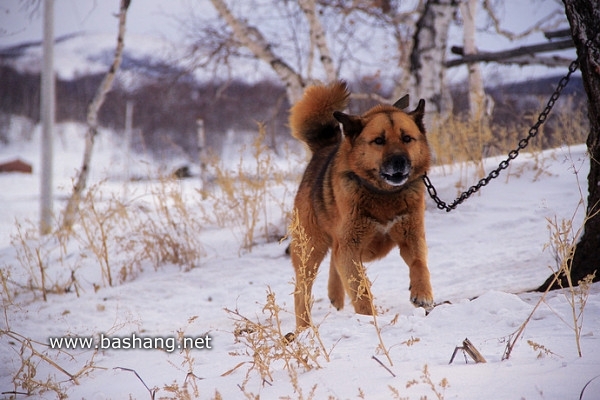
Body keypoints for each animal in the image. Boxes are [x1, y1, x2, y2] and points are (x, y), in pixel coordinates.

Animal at [290, 80, 434, 328]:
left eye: (407, 138)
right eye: (379, 141)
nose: (400, 161)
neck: (384, 195)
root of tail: (322, 150)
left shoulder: (411, 235)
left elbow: (419, 263)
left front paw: (422, 293)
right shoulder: (350, 246)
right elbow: (361, 289)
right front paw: (368, 319)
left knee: (334, 261)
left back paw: (334, 295)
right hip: (310, 249)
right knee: (303, 290)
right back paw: (304, 327)